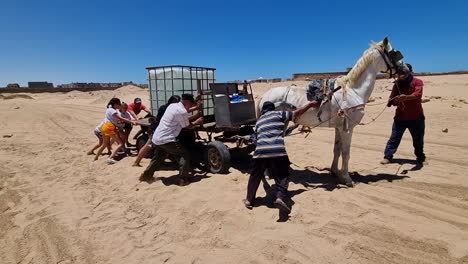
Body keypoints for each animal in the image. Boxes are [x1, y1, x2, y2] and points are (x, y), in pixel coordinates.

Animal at [260, 37, 402, 187]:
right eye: (393, 53)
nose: (407, 67)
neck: (353, 91)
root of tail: (265, 95)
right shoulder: (348, 129)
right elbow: (346, 153)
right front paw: (347, 178)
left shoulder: (339, 127)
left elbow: (337, 150)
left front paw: (335, 172)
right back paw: (269, 173)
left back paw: (270, 172)